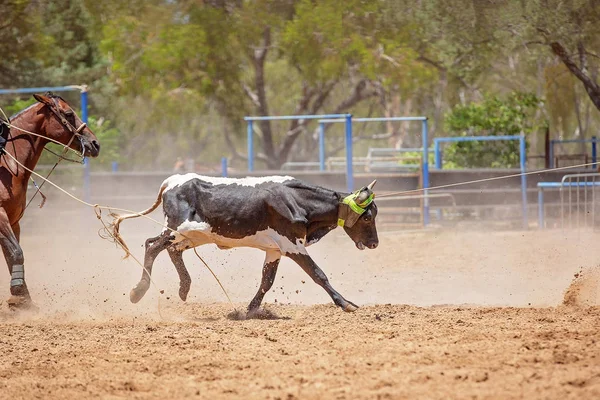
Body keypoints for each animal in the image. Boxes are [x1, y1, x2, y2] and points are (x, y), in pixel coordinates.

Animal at [1, 94, 99, 310]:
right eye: (68, 114)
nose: (95, 143)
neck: (8, 166)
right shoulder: (1, 217)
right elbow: (17, 253)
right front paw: (18, 297)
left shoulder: (14, 221)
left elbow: (12, 256)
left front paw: (24, 301)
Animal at [110, 175, 378, 316]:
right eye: (367, 217)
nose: (374, 243)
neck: (295, 200)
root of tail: (172, 182)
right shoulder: (292, 245)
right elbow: (318, 274)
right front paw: (346, 303)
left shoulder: (274, 250)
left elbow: (267, 281)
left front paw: (251, 310)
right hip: (177, 230)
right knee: (152, 246)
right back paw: (138, 291)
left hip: (191, 236)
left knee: (171, 251)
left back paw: (184, 288)